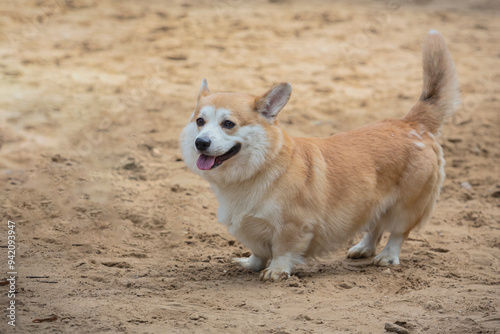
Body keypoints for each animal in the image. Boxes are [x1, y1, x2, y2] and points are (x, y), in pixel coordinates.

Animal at [181, 32, 460, 282]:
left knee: (397, 233)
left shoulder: (292, 227)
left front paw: (276, 272)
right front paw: (250, 264)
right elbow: (258, 251)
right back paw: (363, 248)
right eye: (200, 121)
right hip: (374, 201)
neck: (260, 168)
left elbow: (281, 251)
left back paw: (387, 257)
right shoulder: (250, 228)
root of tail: (410, 123)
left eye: (228, 124)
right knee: (375, 226)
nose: (201, 143)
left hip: (406, 205)